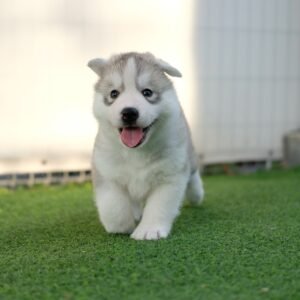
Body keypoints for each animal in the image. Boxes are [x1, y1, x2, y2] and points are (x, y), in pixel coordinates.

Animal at [87, 51, 204, 239]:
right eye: (114, 94)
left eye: (147, 92)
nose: (129, 113)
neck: (137, 152)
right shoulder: (106, 171)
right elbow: (113, 206)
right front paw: (121, 226)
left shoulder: (170, 175)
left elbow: (159, 205)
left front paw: (149, 230)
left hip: (189, 155)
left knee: (193, 174)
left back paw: (196, 195)